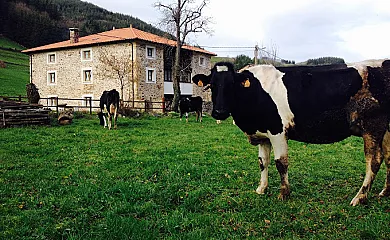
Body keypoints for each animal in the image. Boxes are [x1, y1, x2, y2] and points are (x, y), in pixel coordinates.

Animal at [193, 60, 390, 206]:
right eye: (211, 85)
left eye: (232, 84)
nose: (219, 112)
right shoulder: (263, 135)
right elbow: (262, 162)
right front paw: (261, 189)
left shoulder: (278, 131)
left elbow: (281, 163)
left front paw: (284, 194)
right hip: (387, 129)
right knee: (388, 157)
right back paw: (385, 192)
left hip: (372, 127)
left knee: (374, 160)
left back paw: (360, 197)